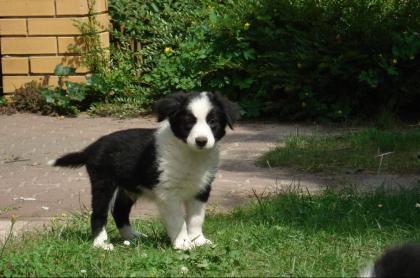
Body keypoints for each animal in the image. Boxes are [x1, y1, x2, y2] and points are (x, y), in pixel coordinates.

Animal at [48, 92, 240, 251]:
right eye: (188, 123)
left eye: (213, 122)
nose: (201, 141)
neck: (191, 154)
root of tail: (91, 148)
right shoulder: (168, 193)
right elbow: (178, 221)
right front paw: (183, 243)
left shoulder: (201, 189)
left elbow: (196, 218)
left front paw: (198, 240)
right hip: (104, 183)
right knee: (99, 214)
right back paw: (101, 243)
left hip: (129, 189)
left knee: (119, 211)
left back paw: (131, 237)